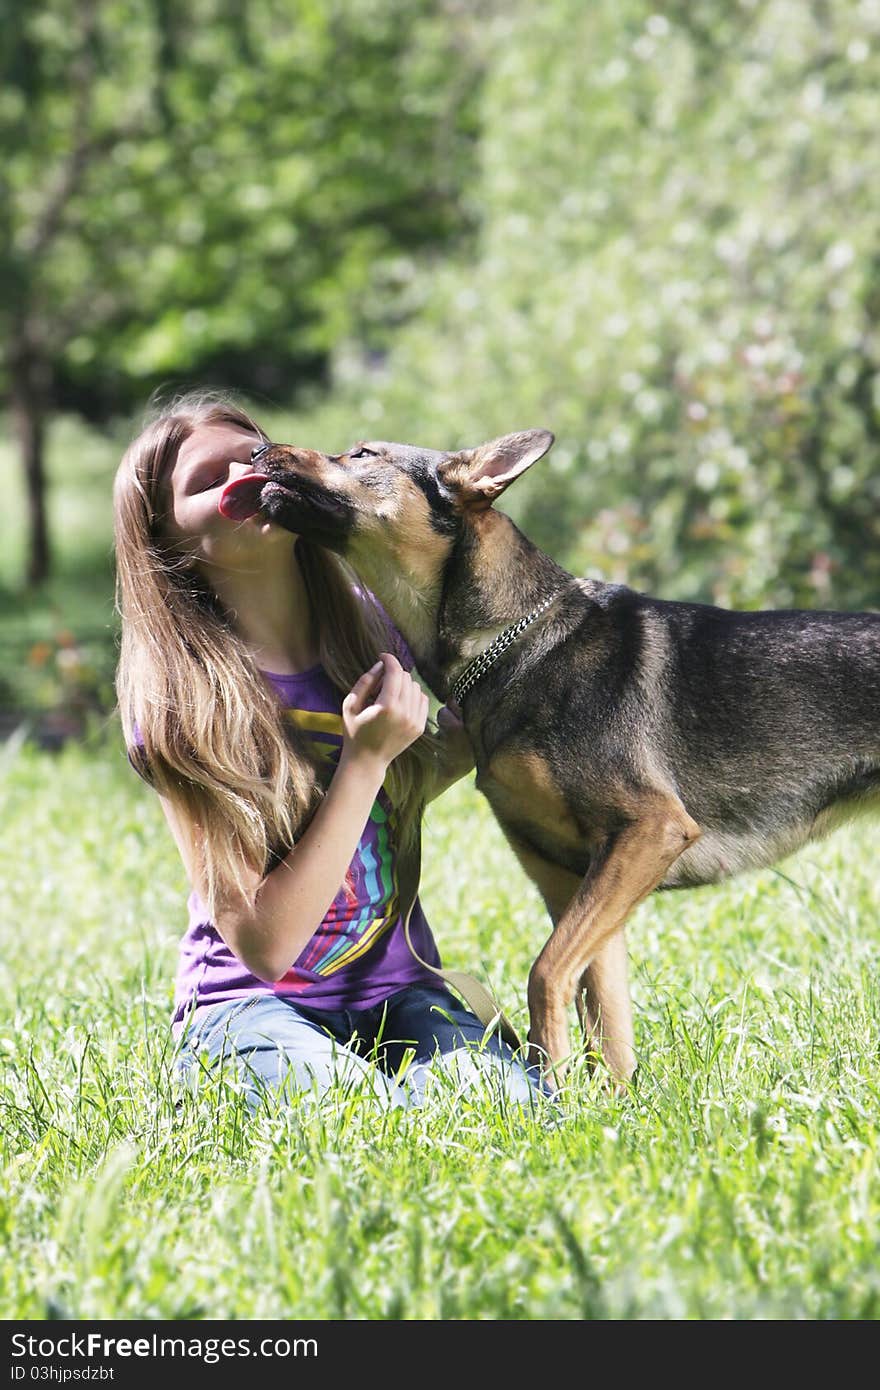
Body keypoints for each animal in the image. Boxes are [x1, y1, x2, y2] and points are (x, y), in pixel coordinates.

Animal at [218, 433, 878, 1084]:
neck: (515, 641)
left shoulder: (650, 833)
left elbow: (545, 975)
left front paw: (553, 1083)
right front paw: (602, 1105)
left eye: (361, 455)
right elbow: (607, 1024)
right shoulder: (577, 884)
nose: (255, 454)